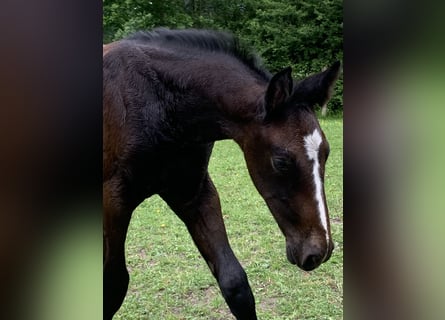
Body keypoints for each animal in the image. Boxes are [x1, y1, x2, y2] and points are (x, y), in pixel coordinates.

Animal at [104, 28, 340, 318]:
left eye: (326, 152)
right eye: (281, 161)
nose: (319, 251)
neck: (160, 104)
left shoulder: (193, 193)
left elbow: (234, 282)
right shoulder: (113, 201)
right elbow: (112, 287)